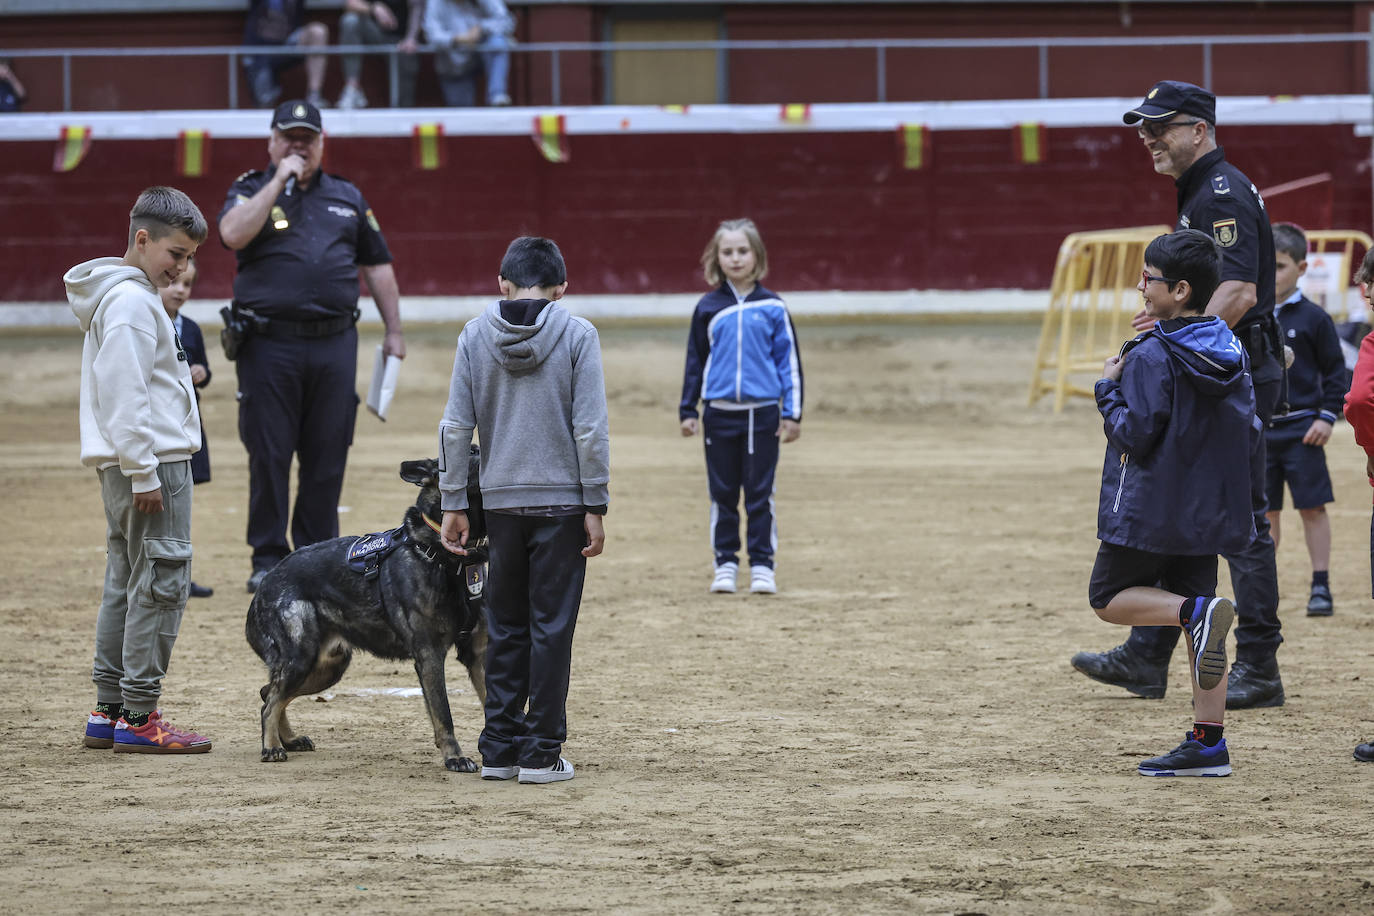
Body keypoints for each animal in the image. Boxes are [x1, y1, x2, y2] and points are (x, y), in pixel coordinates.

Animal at [247, 455, 489, 769]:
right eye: (470, 458)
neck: (443, 556)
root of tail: (265, 582)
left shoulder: (477, 656)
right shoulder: (430, 656)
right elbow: (444, 713)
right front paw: (455, 757)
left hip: (326, 668)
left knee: (269, 694)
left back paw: (288, 738)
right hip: (301, 659)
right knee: (271, 701)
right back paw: (272, 747)